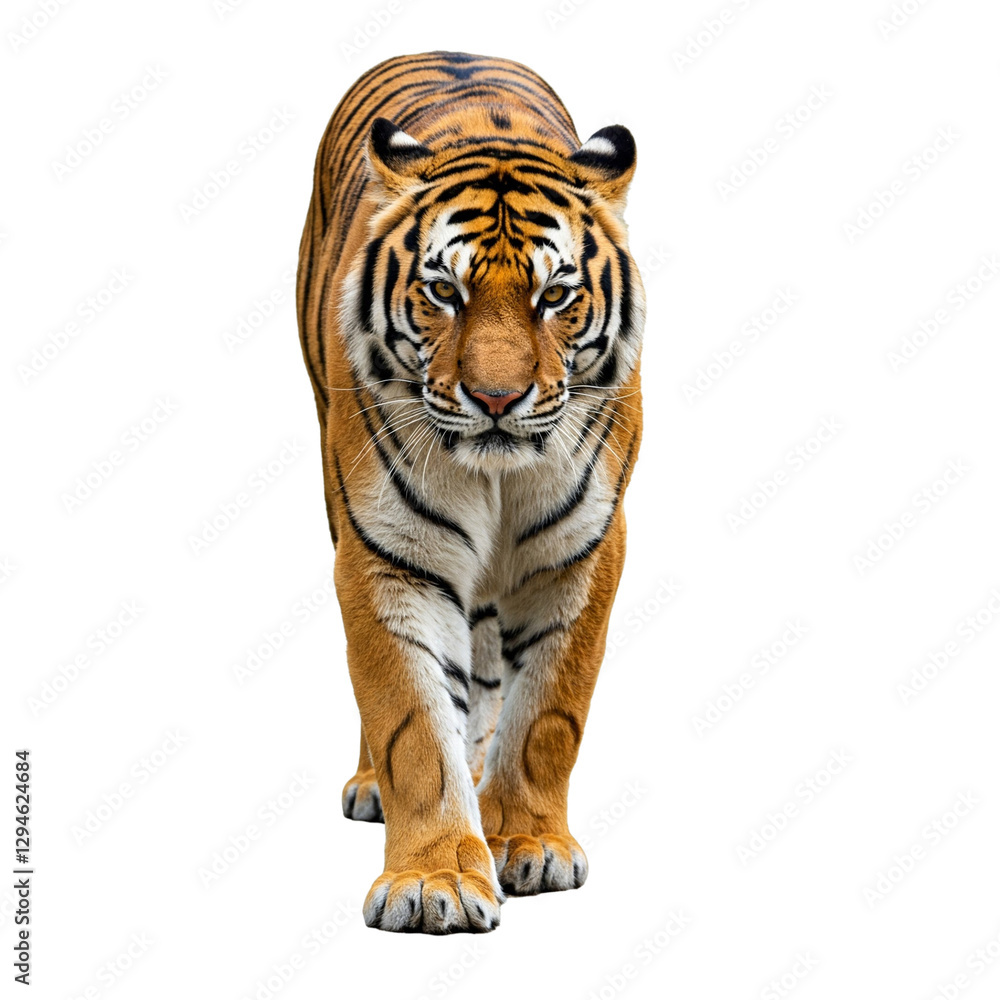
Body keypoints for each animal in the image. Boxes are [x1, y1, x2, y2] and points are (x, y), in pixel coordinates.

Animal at [295, 50, 644, 934]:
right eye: (444, 293)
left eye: (554, 296)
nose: (495, 398)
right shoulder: (387, 552)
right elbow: (412, 721)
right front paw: (435, 883)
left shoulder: (582, 550)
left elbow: (548, 711)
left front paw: (525, 839)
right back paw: (375, 787)